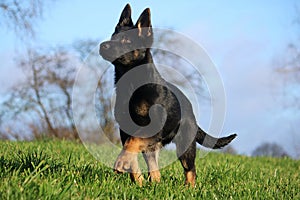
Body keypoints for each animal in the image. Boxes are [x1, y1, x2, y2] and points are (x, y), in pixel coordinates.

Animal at [99, 3, 236, 187]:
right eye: (113, 37)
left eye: (126, 41)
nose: (102, 45)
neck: (133, 84)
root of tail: (191, 111)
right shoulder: (126, 130)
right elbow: (131, 152)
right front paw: (137, 180)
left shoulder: (151, 127)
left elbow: (132, 143)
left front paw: (122, 163)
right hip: (153, 147)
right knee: (155, 171)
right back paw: (152, 184)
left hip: (185, 145)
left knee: (190, 170)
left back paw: (188, 188)